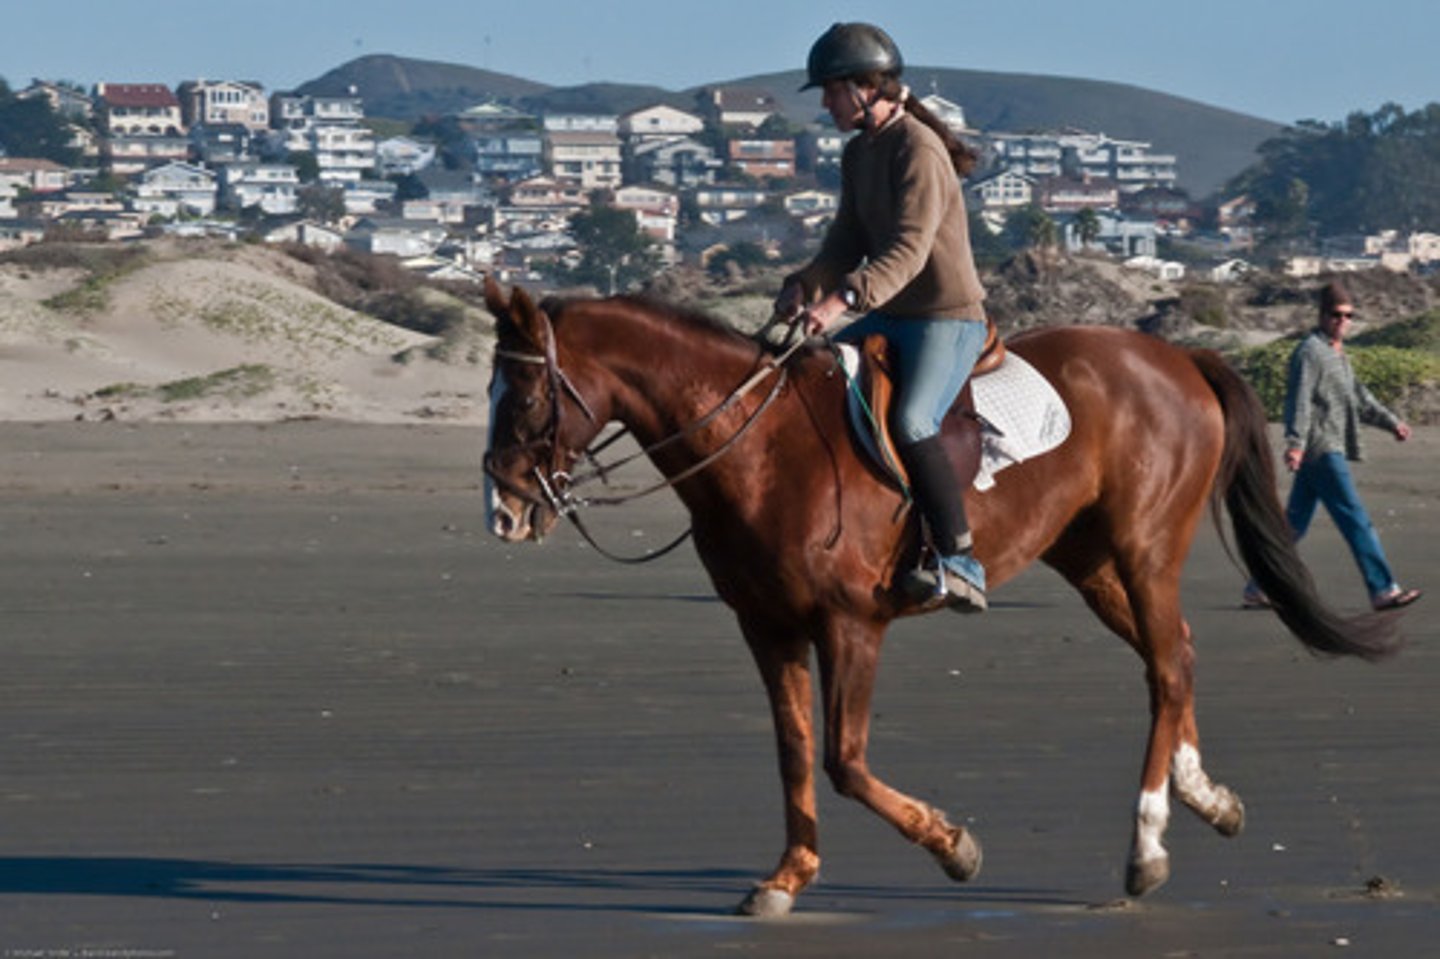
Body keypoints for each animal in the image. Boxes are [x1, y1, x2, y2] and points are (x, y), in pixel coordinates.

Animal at [480, 277, 1399, 917]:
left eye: (525, 394)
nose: (503, 511)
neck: (761, 446)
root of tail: (1176, 356)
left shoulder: (849, 625)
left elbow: (845, 761)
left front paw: (953, 846)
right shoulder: (768, 627)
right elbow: (793, 752)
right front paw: (788, 875)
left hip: (1143, 548)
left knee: (1167, 665)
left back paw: (1146, 845)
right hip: (1093, 562)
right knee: (1175, 652)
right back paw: (1206, 797)